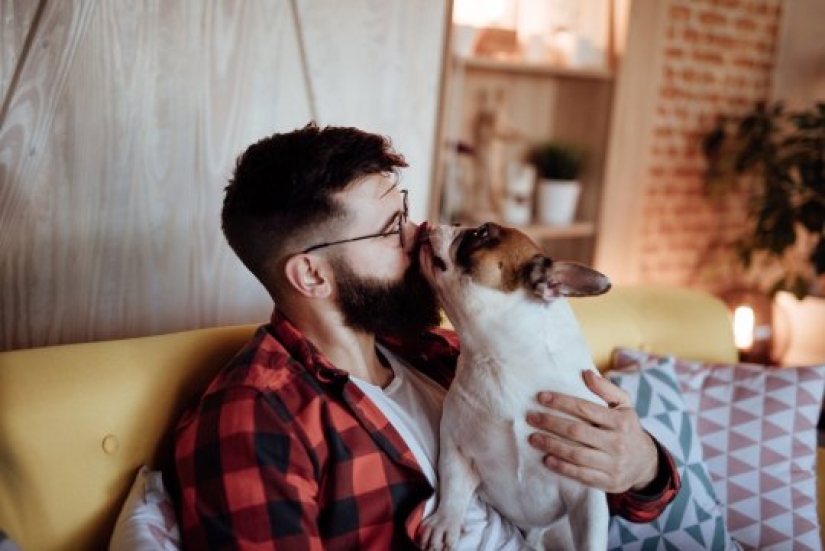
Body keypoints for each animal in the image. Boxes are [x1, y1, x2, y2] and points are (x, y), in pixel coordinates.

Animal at [418, 223, 612, 551]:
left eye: (481, 233)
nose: (443, 223)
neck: (501, 358)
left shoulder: (586, 490)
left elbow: (592, 539)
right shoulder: (458, 449)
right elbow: (454, 489)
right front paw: (445, 521)